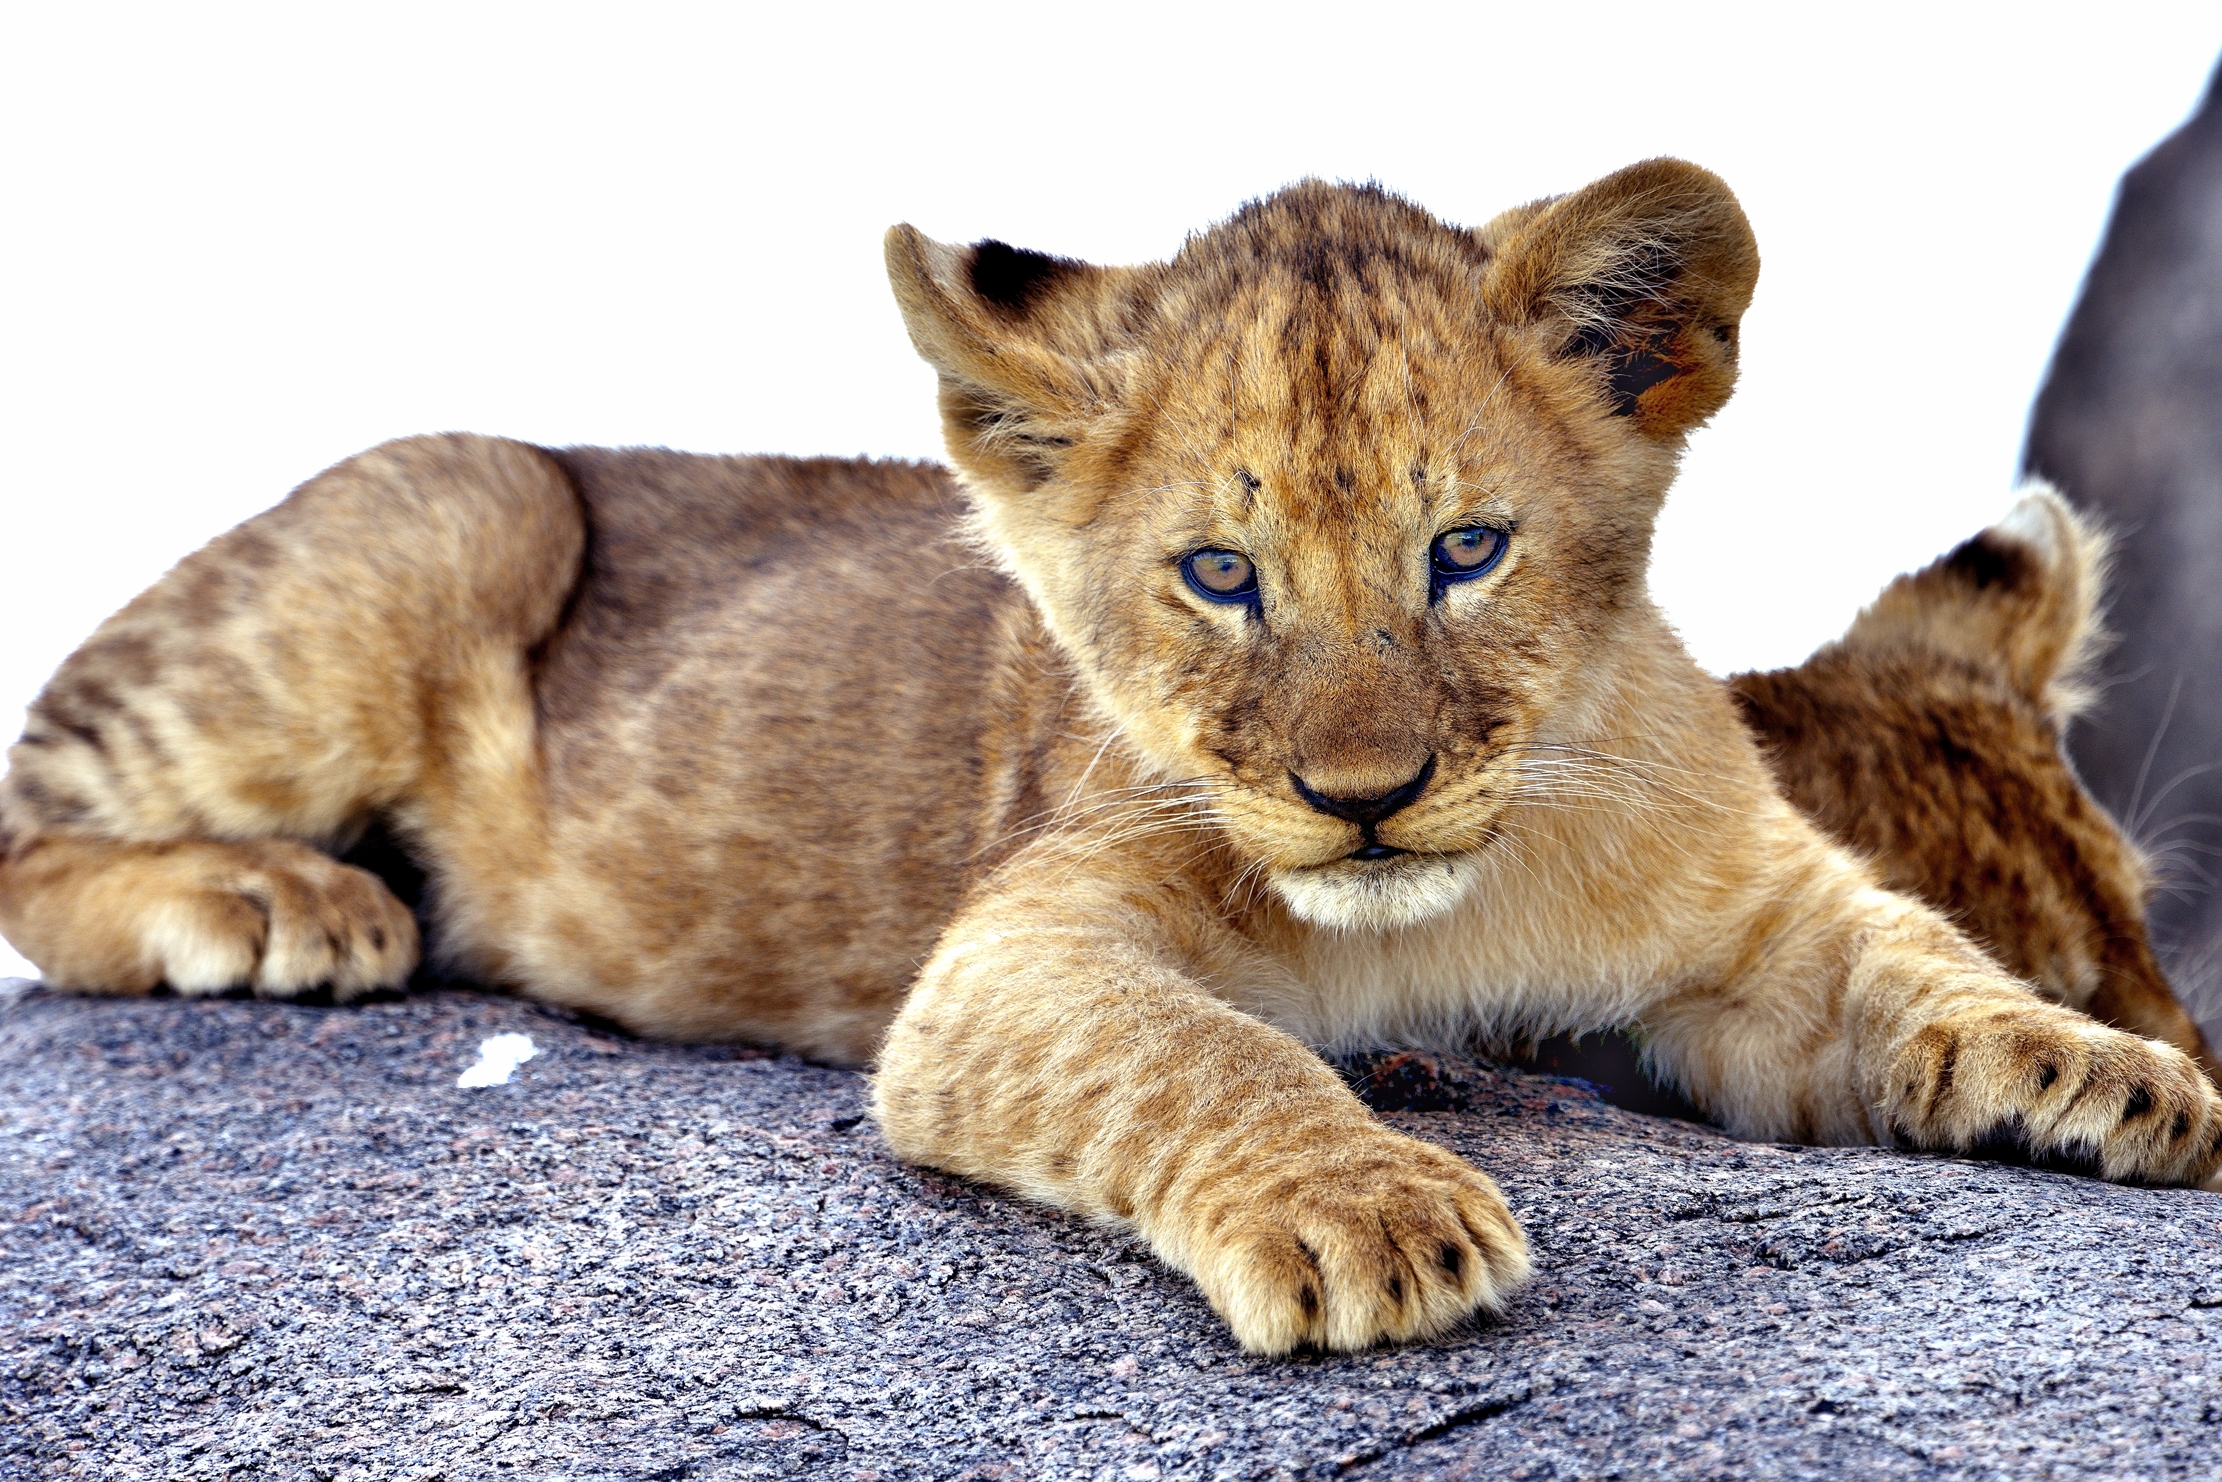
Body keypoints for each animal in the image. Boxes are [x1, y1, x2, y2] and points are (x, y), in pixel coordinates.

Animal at [4, 161, 2219, 1357]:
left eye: (1466, 552)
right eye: (1220, 577)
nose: (1360, 796)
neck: (1464, 892)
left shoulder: (1756, 919)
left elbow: (1915, 971)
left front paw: (2114, 1082)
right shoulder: (1012, 955)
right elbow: (1203, 1052)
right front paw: (1371, 1217)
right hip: (458, 507)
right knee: (36, 814)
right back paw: (272, 900)